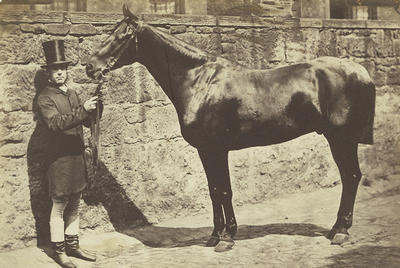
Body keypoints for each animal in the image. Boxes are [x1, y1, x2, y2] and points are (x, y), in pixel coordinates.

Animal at [86, 4, 376, 251]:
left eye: (121, 36)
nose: (90, 67)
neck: (199, 82)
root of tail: (361, 72)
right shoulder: (206, 150)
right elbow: (215, 191)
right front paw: (216, 235)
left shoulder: (216, 149)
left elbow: (224, 190)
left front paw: (226, 238)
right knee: (350, 177)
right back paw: (335, 229)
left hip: (341, 139)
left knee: (351, 177)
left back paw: (341, 232)